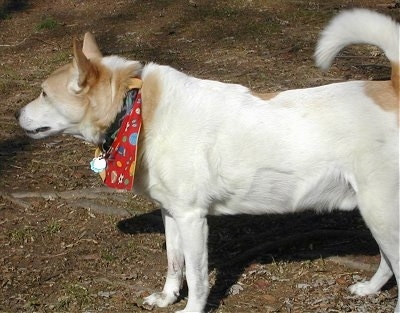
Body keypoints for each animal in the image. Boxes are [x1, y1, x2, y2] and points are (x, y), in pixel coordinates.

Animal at [15, 7, 396, 312]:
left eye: (44, 94)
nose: (17, 115)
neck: (135, 107)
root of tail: (391, 86)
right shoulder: (172, 214)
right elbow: (174, 264)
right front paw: (167, 298)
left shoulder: (193, 219)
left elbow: (197, 278)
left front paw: (191, 309)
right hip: (376, 215)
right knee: (387, 262)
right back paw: (369, 289)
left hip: (380, 212)